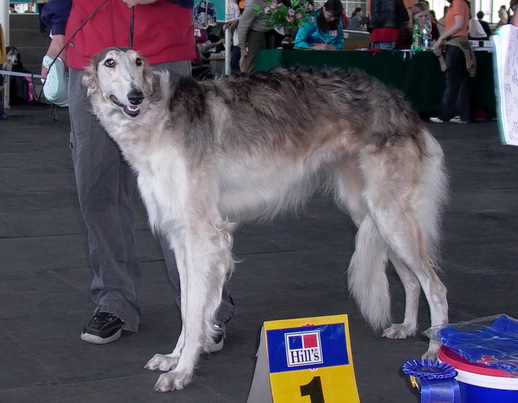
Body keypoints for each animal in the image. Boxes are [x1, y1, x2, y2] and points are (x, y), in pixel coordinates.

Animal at [83, 47, 449, 392]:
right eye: (109, 63)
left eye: (139, 62)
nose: (135, 96)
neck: (160, 117)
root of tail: (399, 102)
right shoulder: (179, 236)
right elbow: (187, 307)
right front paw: (174, 358)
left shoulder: (204, 234)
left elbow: (196, 308)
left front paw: (182, 372)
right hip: (371, 213)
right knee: (411, 280)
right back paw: (406, 328)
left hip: (390, 215)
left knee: (435, 286)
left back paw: (435, 351)